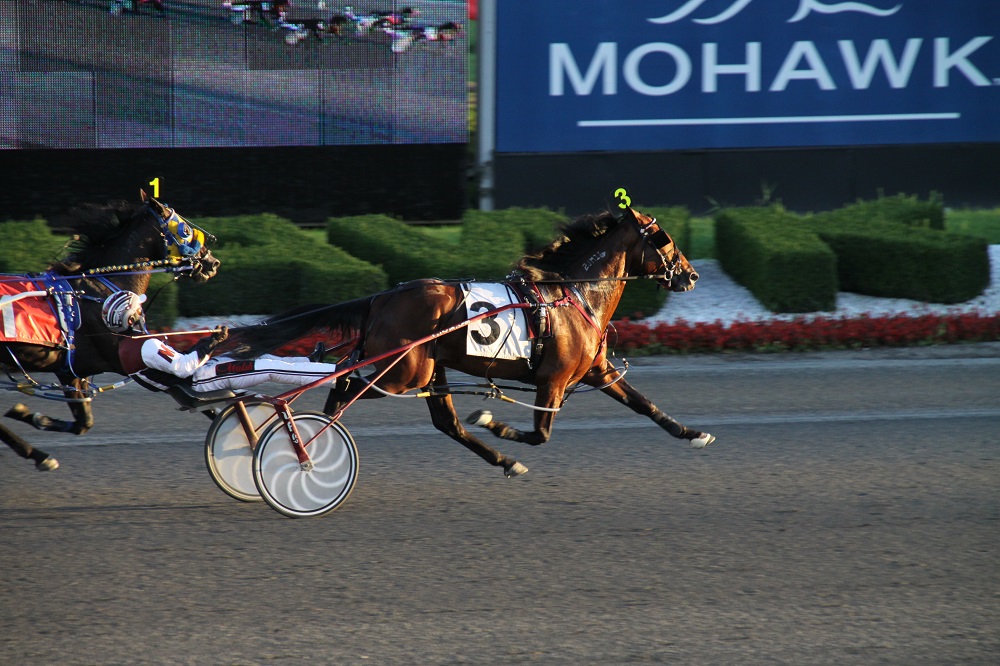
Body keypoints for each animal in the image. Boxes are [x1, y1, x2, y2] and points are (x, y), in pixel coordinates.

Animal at [0, 191, 220, 470]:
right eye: (186, 229)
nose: (212, 263)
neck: (100, 291)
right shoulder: (123, 356)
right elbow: (184, 387)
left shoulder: (71, 369)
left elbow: (84, 423)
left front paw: (29, 414)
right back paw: (36, 453)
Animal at [222, 205, 715, 478]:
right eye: (664, 239)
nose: (691, 275)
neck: (573, 294)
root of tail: (381, 297)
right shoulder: (553, 380)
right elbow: (540, 435)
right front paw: (494, 421)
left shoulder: (596, 370)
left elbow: (643, 403)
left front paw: (693, 433)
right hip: (403, 372)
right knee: (345, 387)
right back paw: (310, 447)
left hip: (428, 369)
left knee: (444, 422)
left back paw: (501, 461)